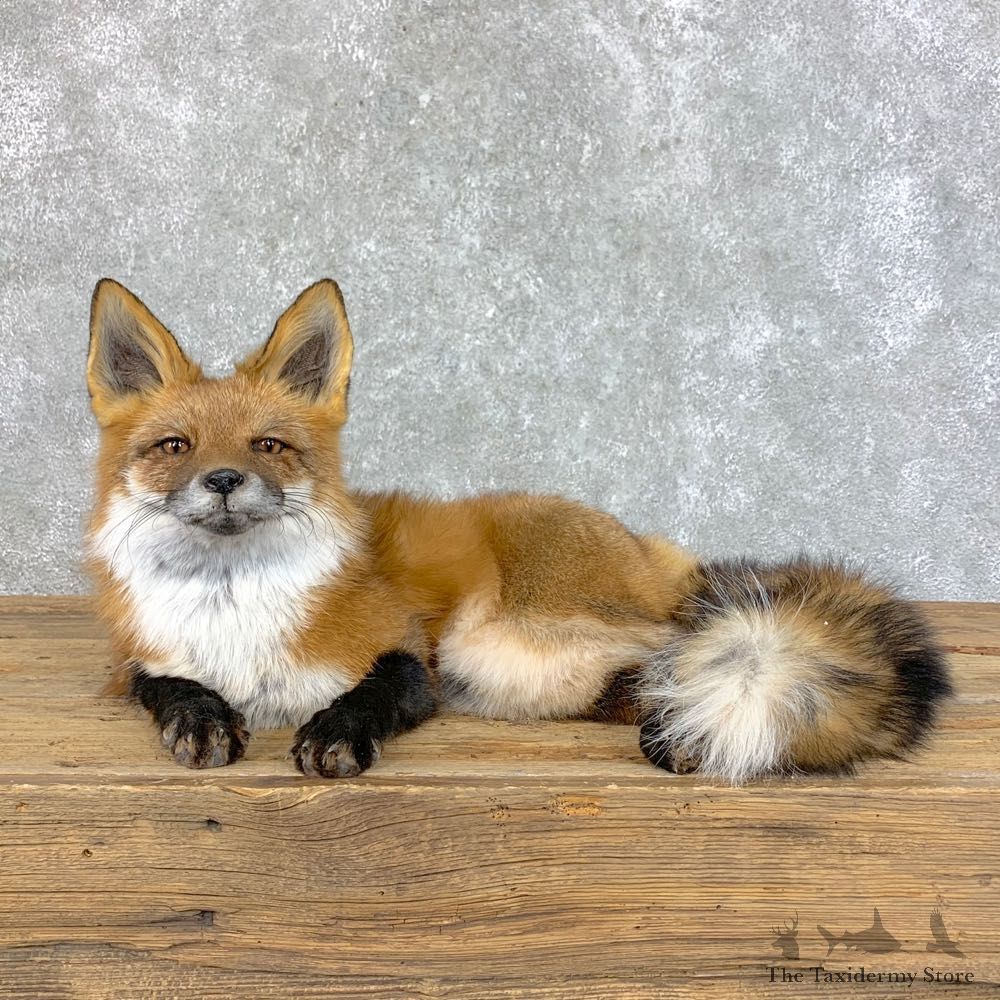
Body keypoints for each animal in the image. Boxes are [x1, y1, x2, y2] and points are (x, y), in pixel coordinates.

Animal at [85, 278, 953, 782]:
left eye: (267, 446)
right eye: (175, 447)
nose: (224, 481)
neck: (236, 616)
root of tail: (648, 549)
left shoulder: (412, 650)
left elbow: (377, 689)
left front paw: (337, 730)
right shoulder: (139, 658)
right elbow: (162, 683)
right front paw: (198, 716)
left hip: (497, 645)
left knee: (697, 651)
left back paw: (690, 728)